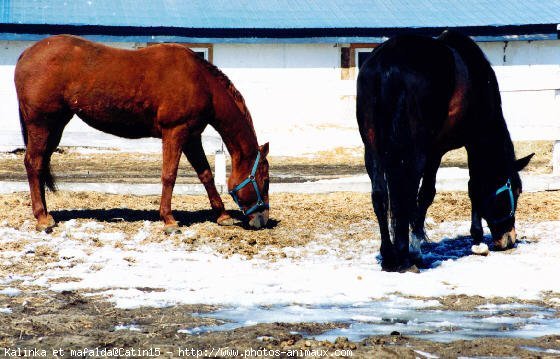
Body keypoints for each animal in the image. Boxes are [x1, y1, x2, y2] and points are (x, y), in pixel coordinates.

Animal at [15, 35, 270, 233]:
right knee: (33, 163)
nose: (263, 219)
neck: (200, 82)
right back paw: (42, 218)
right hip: (41, 124)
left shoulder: (191, 137)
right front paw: (169, 220)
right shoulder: (175, 132)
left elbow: (205, 174)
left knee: (41, 163)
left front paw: (222, 216)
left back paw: (46, 214)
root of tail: (26, 54)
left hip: (55, 125)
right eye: (265, 179)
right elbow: (169, 175)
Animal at [358, 31, 532, 272]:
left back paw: (389, 256)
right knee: (407, 195)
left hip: (372, 149)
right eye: (517, 189)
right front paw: (476, 241)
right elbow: (460, 188)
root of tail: (387, 65)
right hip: (414, 154)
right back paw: (405, 257)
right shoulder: (445, 149)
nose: (508, 239)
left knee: (380, 195)